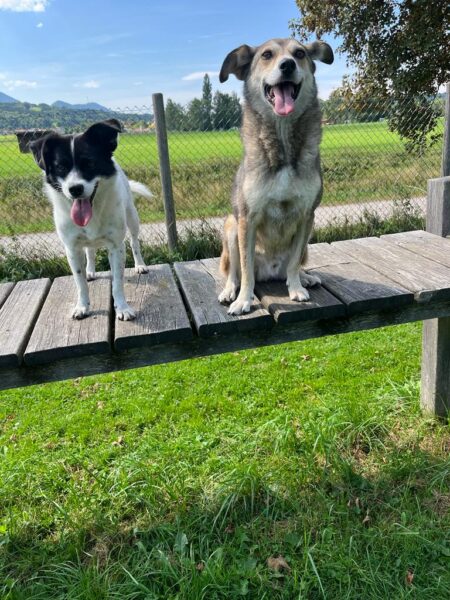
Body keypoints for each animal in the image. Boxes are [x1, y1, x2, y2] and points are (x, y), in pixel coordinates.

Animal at [30, 119, 152, 321]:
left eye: (89, 163)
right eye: (60, 167)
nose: (75, 189)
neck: (94, 209)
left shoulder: (116, 247)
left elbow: (117, 282)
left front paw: (122, 308)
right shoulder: (72, 249)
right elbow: (80, 283)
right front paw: (82, 306)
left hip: (132, 218)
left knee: (134, 242)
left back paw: (140, 265)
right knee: (90, 251)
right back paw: (90, 271)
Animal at [217, 38, 334, 315]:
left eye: (300, 53)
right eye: (267, 55)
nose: (287, 65)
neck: (282, 139)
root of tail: (270, 273)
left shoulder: (307, 215)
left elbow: (293, 262)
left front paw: (297, 287)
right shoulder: (247, 218)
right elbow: (246, 269)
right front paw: (243, 300)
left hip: (308, 237)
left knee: (294, 264)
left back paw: (305, 277)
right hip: (230, 226)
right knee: (233, 272)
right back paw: (229, 291)